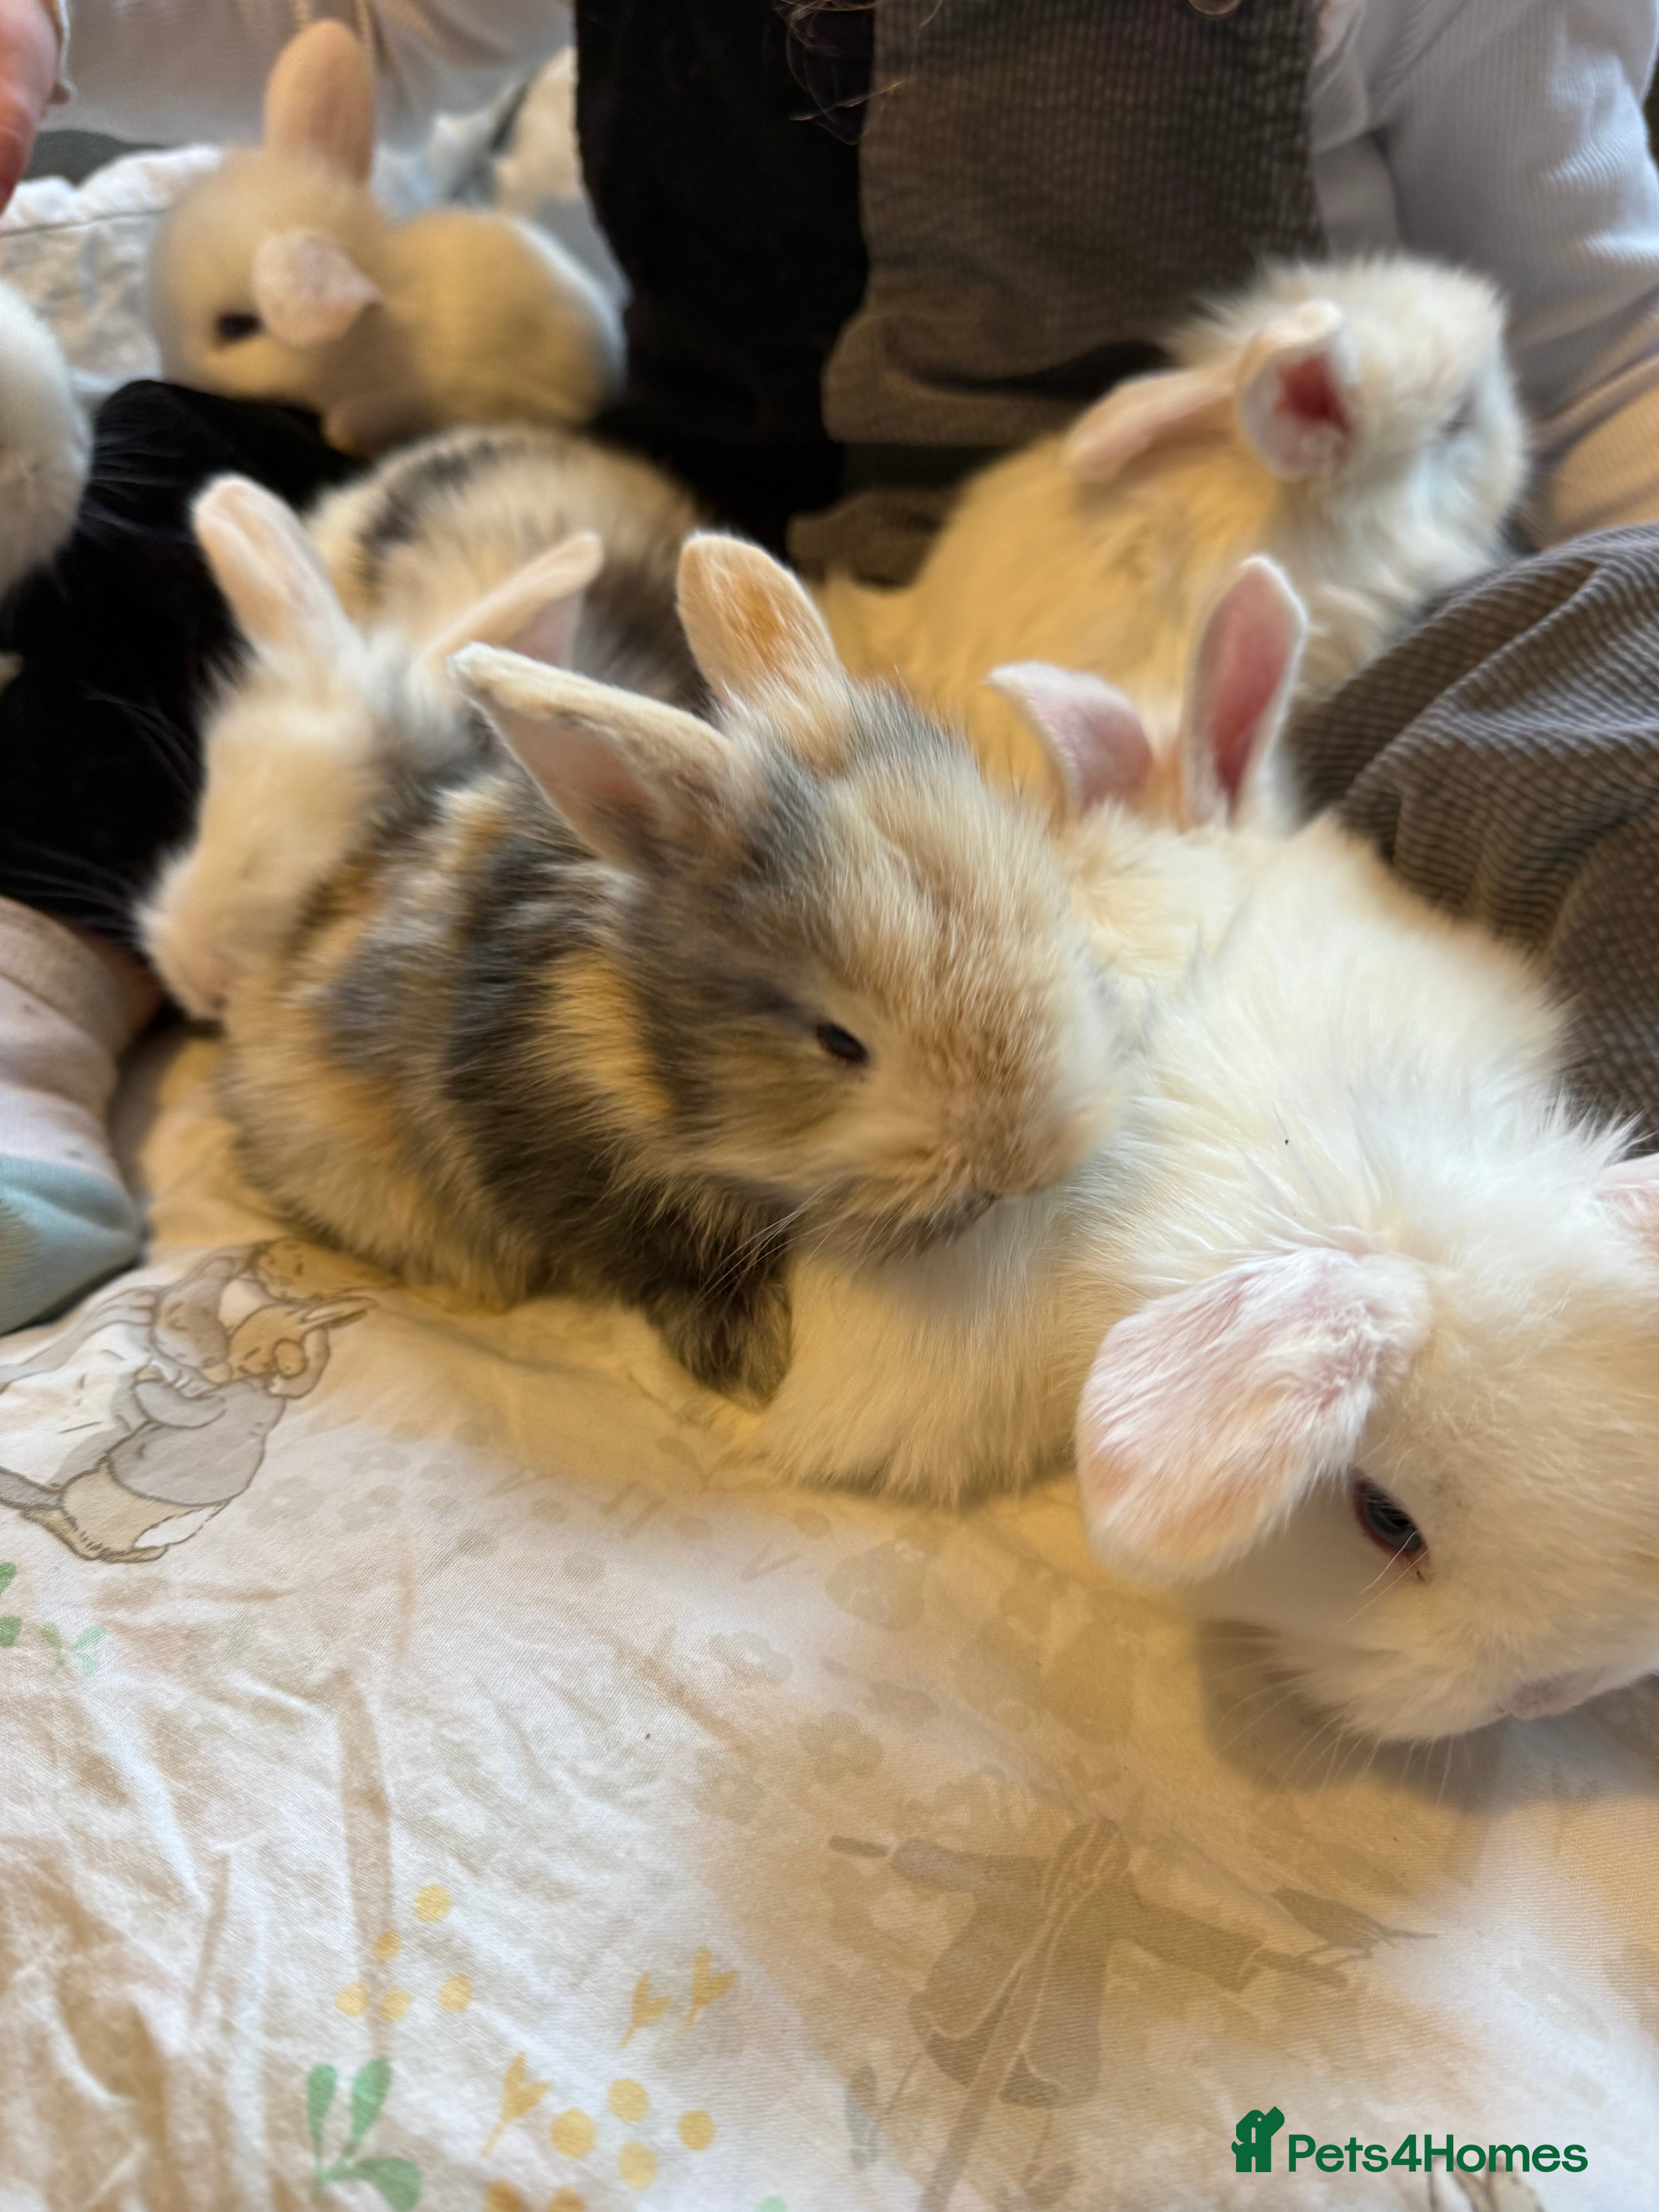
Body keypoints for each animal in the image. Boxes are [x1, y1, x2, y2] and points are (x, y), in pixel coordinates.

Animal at [144, 513, 1132, 1407]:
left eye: (1054, 915)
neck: (631, 1038)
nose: (1025, 1167)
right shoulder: (577, 1172)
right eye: (838, 1043)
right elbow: (669, 1263)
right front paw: (750, 1360)